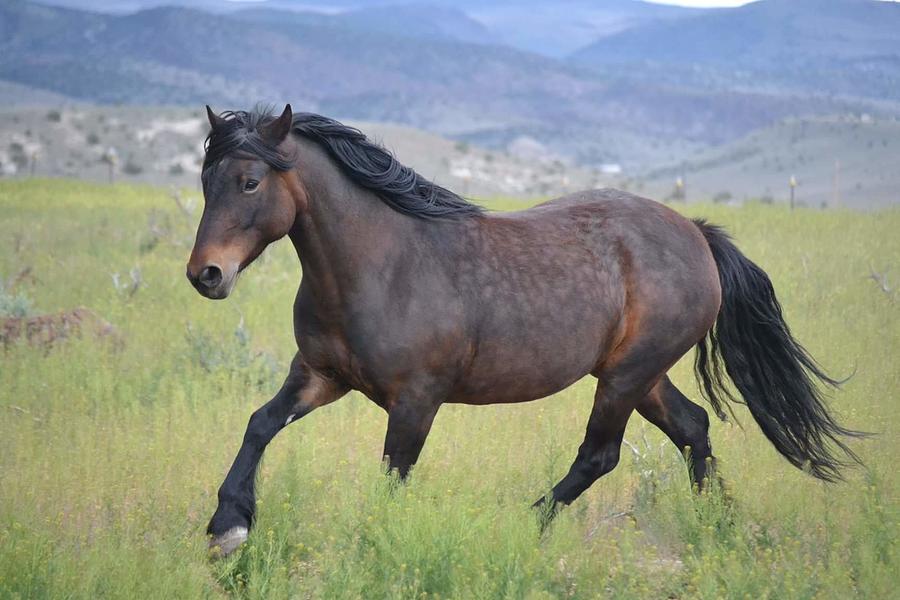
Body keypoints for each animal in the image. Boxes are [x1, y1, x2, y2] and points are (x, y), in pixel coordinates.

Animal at [186, 104, 860, 556]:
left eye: (250, 181)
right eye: (206, 180)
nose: (206, 274)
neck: (382, 265)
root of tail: (696, 232)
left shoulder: (416, 402)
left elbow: (393, 476)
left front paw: (371, 542)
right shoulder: (320, 376)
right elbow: (260, 424)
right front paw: (228, 528)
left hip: (627, 375)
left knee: (601, 454)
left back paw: (522, 526)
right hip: (639, 375)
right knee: (693, 428)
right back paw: (719, 528)